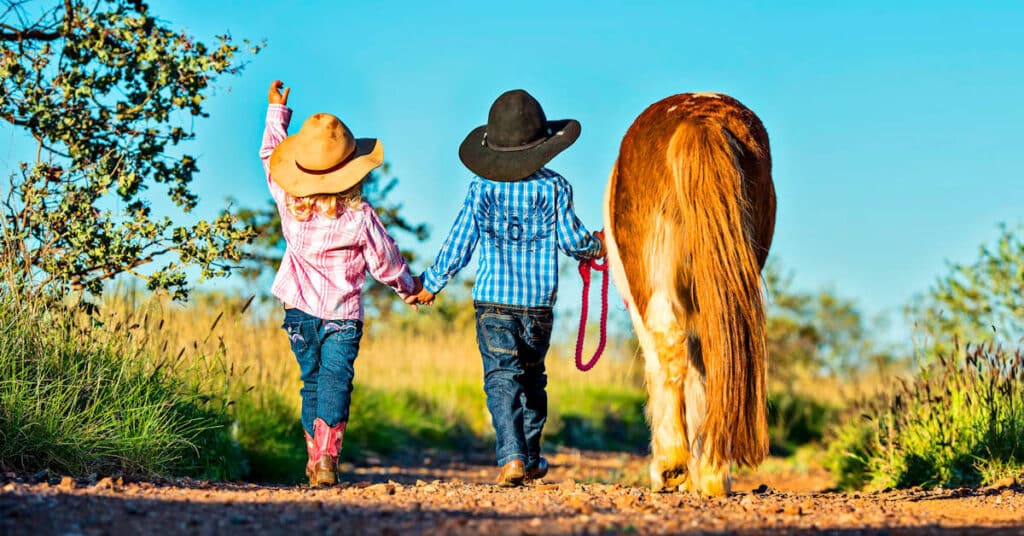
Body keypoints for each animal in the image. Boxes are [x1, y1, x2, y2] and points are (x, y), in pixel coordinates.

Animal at [598, 91, 774, 496]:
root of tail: (700, 120)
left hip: (651, 281)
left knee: (668, 347)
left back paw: (673, 464)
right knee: (714, 356)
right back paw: (711, 473)